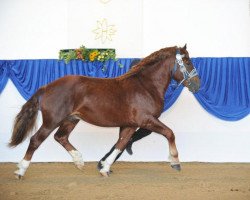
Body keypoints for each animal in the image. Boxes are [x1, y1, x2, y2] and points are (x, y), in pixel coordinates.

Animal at [9, 44, 200, 178]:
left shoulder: (130, 125)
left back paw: (79, 160)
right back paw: (20, 170)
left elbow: (121, 144)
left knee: (60, 137)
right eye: (188, 62)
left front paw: (104, 167)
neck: (145, 86)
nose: (197, 84)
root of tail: (47, 87)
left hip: (71, 119)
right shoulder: (146, 120)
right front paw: (175, 162)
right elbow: (169, 133)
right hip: (52, 121)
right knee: (35, 140)